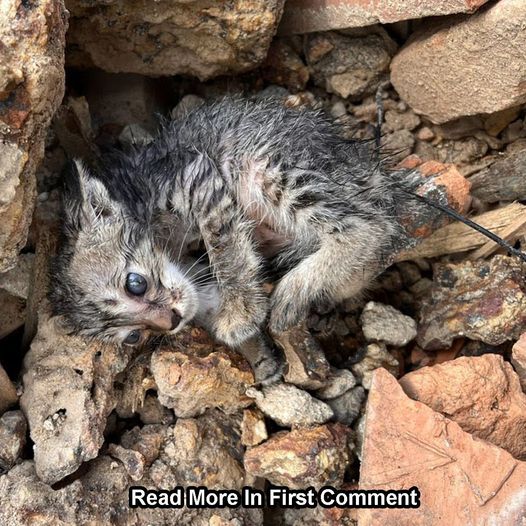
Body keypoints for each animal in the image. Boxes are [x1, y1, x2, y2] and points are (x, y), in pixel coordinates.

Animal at [49, 96, 412, 384]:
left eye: (135, 284)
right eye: (133, 336)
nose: (171, 322)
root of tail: (369, 166)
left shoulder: (196, 175)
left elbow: (224, 249)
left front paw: (240, 313)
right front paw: (259, 358)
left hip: (270, 166)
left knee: (373, 226)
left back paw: (297, 287)